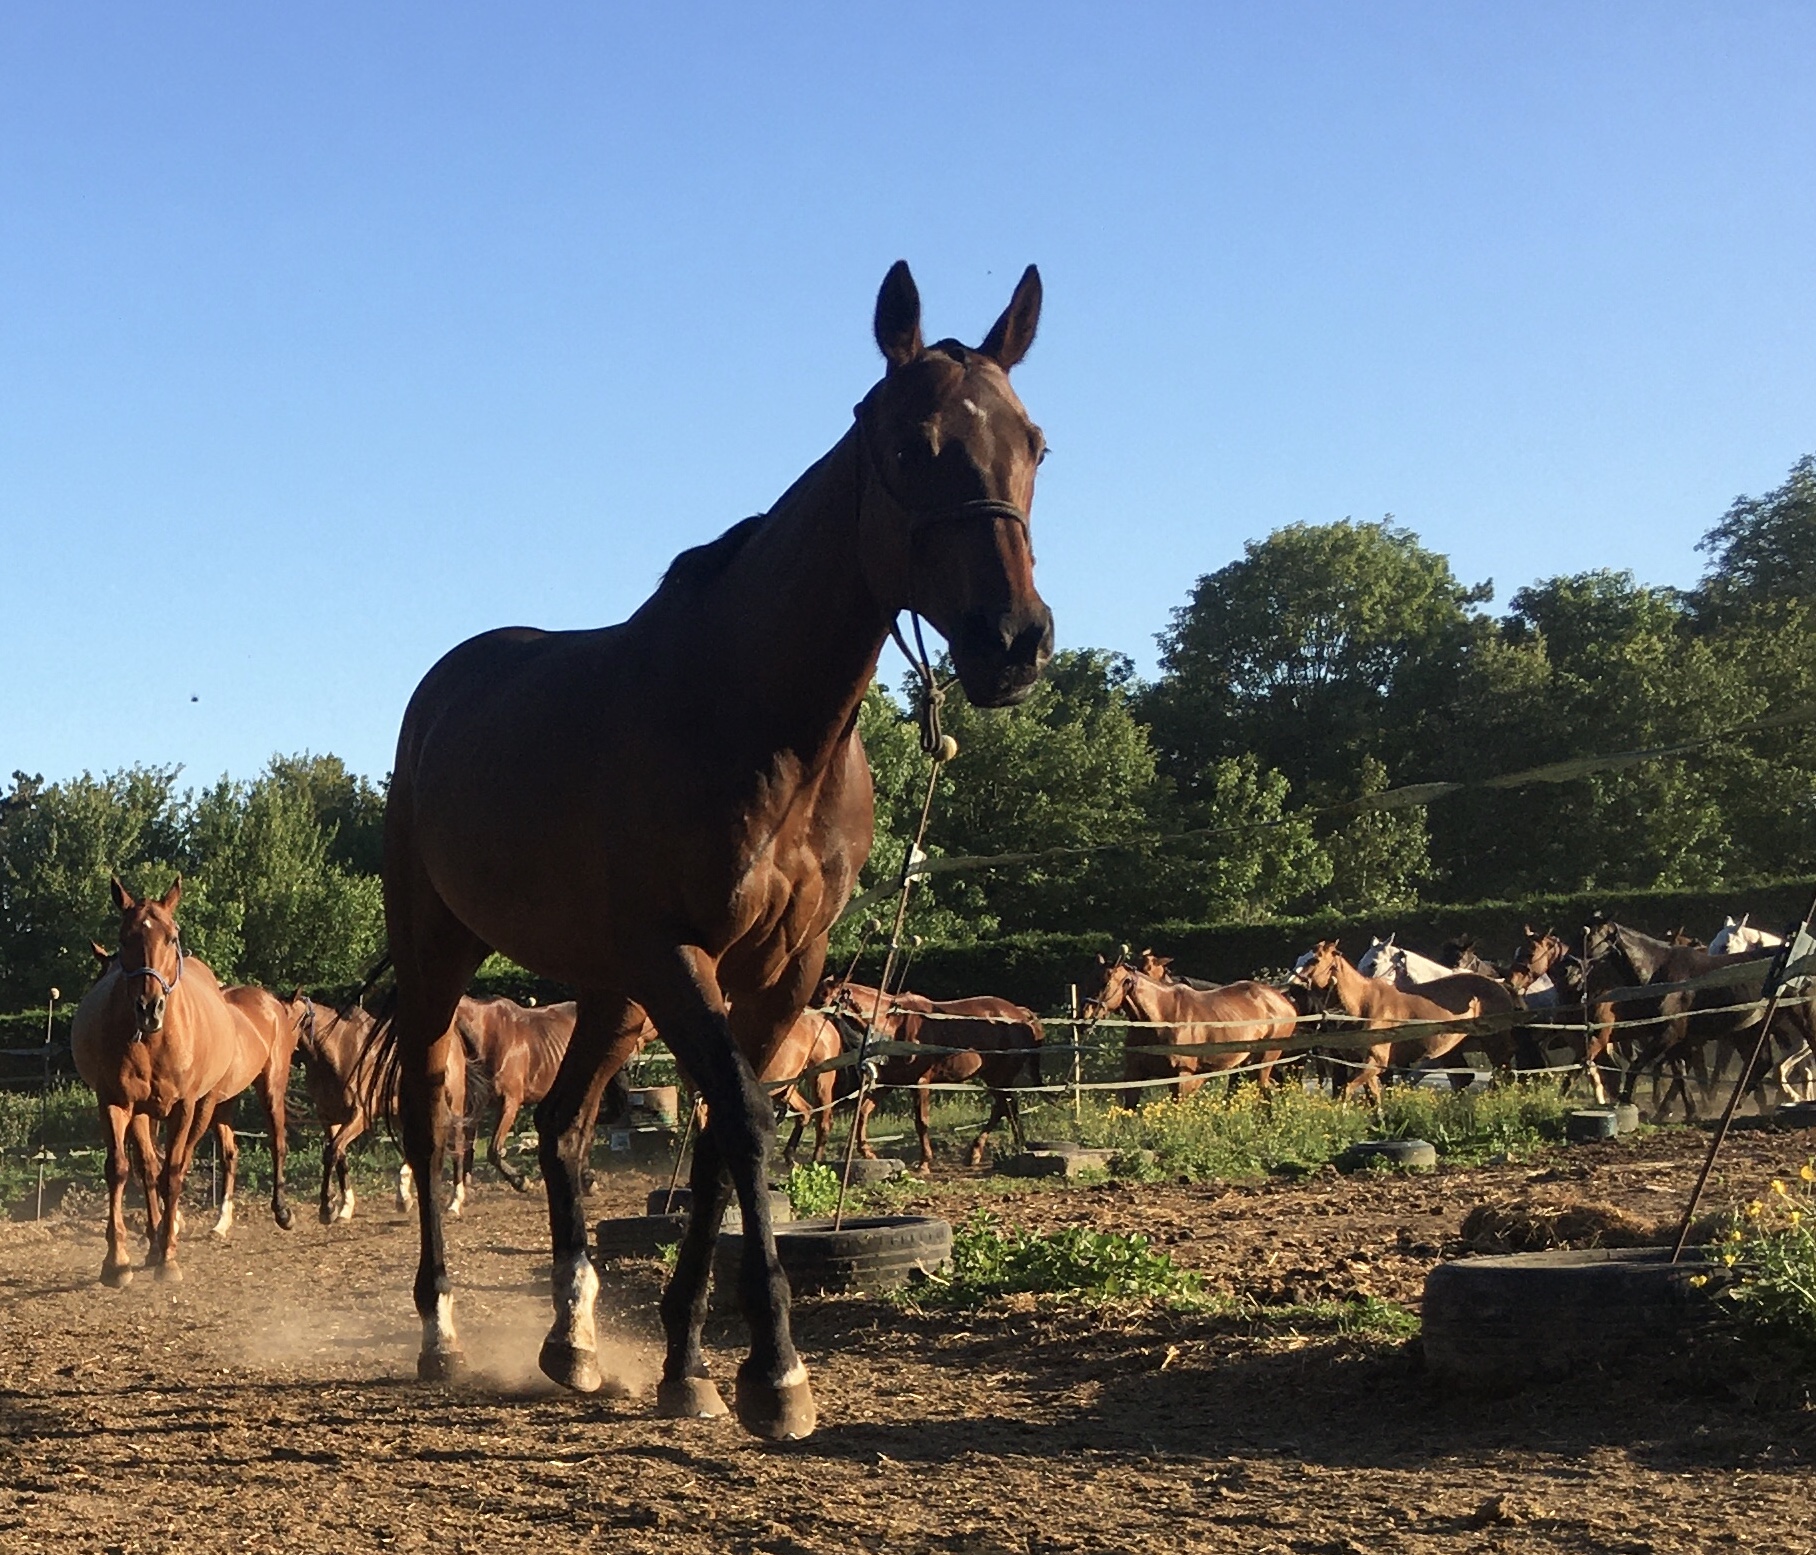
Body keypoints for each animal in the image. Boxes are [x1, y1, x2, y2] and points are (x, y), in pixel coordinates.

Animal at [70, 879, 274, 1278]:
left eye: (171, 936)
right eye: (125, 937)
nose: (149, 1008)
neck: (154, 1041)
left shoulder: (183, 1107)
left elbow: (172, 1173)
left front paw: (167, 1255)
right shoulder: (120, 1103)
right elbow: (123, 1169)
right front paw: (118, 1260)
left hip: (204, 1107)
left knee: (182, 1162)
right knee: (149, 1167)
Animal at [820, 980, 1046, 1169]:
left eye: (827, 999)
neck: (894, 1024)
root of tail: (1021, 1014)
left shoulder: (919, 1083)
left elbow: (921, 1122)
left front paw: (924, 1163)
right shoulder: (889, 1083)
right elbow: (863, 1112)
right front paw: (868, 1153)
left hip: (999, 1076)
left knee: (1005, 1107)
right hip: (994, 1077)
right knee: (1007, 1107)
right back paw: (999, 1150)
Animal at [1082, 944, 1300, 1104]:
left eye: (1105, 982)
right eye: (1089, 979)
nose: (1084, 1014)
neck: (1161, 1018)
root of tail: (1282, 998)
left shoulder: (1181, 1078)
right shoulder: (1135, 1074)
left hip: (1264, 1061)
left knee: (1265, 1093)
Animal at [1292, 937, 1474, 1104]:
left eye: (1315, 959)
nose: (1292, 984)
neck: (1362, 1004)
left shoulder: (1377, 1062)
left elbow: (1348, 1089)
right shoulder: (1361, 1064)